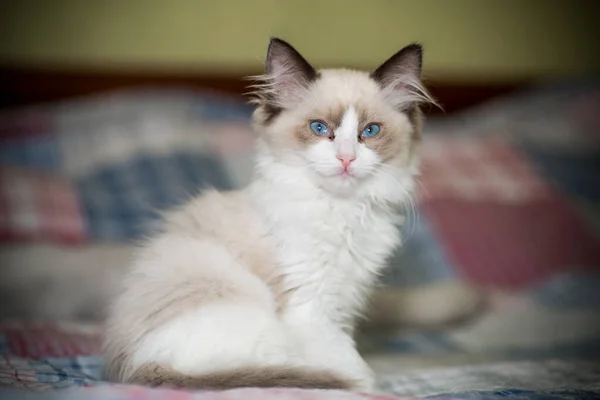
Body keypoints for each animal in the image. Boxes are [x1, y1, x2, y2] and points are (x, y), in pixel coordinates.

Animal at [101, 38, 434, 390]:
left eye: (369, 132)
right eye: (319, 128)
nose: (346, 159)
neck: (341, 210)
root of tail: (136, 369)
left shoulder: (344, 301)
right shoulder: (310, 307)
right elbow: (349, 362)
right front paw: (366, 384)